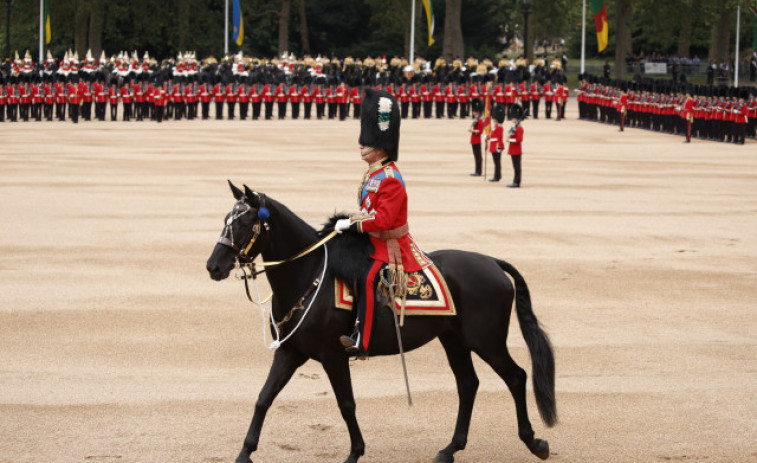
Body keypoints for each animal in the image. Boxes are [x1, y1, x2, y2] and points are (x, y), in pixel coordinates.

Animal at [205, 183, 556, 462]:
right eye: (225, 221)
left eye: (246, 222)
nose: (214, 266)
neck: (307, 273)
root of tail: (492, 262)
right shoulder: (290, 352)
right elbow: (263, 398)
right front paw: (245, 452)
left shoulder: (333, 355)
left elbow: (346, 403)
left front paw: (355, 453)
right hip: (454, 340)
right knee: (468, 384)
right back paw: (450, 449)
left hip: (486, 341)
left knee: (516, 377)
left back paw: (534, 442)